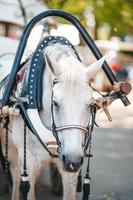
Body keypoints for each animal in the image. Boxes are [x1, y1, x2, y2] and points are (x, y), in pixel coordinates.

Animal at [0, 41, 106, 199]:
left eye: (90, 104)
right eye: (55, 103)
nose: (72, 160)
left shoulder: (70, 172)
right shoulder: (29, 164)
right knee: (16, 176)